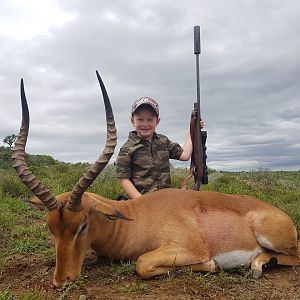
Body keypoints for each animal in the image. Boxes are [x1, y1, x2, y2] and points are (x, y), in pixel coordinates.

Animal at [12, 71, 300, 288]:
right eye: (51, 227)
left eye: (82, 225)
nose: (61, 281)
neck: (137, 218)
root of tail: (276, 212)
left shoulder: (186, 249)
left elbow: (142, 264)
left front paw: (211, 265)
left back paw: (257, 265)